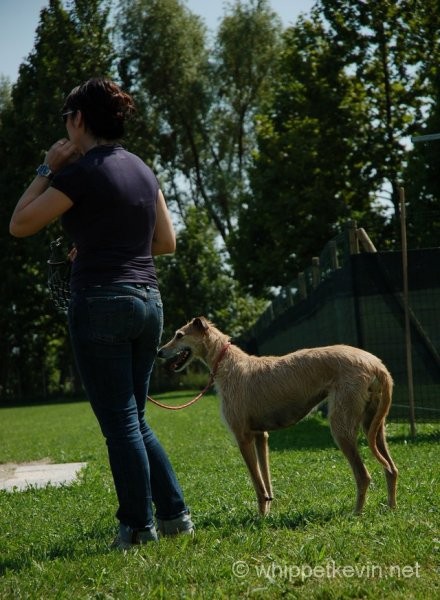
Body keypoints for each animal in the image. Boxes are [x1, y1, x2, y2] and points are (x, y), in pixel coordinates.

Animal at [158, 318, 398, 516]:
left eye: (179, 335)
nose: (159, 351)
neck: (227, 362)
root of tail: (377, 365)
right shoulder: (260, 436)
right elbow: (266, 481)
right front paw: (268, 512)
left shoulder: (242, 437)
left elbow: (257, 484)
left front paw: (260, 518)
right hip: (374, 425)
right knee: (391, 469)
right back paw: (390, 507)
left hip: (342, 427)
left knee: (363, 475)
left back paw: (356, 513)